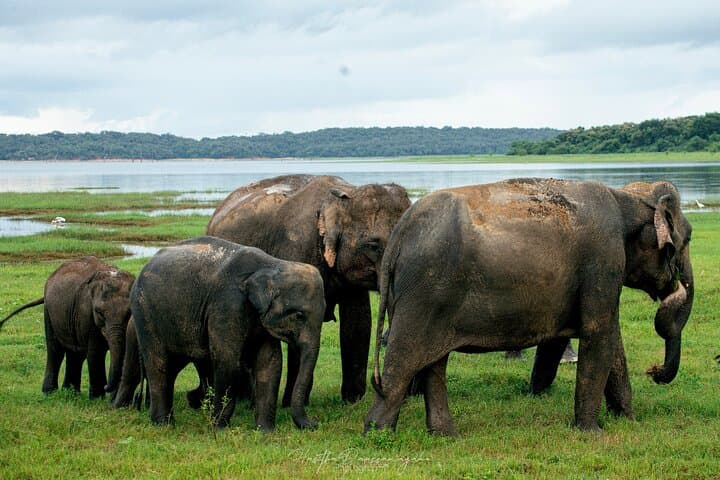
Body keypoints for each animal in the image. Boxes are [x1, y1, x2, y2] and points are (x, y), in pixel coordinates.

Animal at [0, 257, 135, 398]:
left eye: (129, 313)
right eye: (99, 313)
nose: (107, 386)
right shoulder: (87, 314)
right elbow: (95, 352)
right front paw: (97, 399)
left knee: (75, 353)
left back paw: (70, 393)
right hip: (49, 311)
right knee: (55, 350)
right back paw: (50, 393)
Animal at [130, 236, 326, 431]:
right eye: (299, 315)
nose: (314, 423)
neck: (273, 264)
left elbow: (270, 361)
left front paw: (265, 431)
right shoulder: (227, 305)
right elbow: (228, 359)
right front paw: (220, 428)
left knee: (173, 365)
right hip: (145, 313)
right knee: (159, 363)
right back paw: (164, 424)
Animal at [206, 174, 410, 405]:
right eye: (374, 246)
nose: (383, 387)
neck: (346, 192)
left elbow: (358, 319)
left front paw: (352, 402)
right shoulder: (296, 249)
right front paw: (290, 404)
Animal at [364, 179, 693, 435]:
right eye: (687, 238)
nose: (654, 372)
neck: (627, 198)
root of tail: (399, 234)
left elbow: (610, 341)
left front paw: (627, 421)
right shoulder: (603, 258)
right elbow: (599, 333)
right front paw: (592, 433)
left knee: (434, 363)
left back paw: (445, 436)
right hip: (424, 291)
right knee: (403, 361)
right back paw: (379, 436)